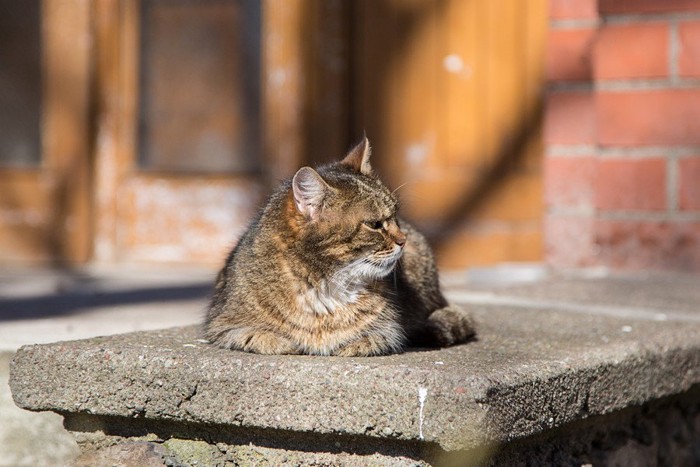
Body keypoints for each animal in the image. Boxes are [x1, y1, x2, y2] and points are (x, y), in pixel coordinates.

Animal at [202, 137, 476, 356]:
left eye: (396, 216)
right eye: (375, 225)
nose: (403, 240)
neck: (326, 284)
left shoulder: (388, 330)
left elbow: (372, 337)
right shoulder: (223, 324)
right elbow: (260, 336)